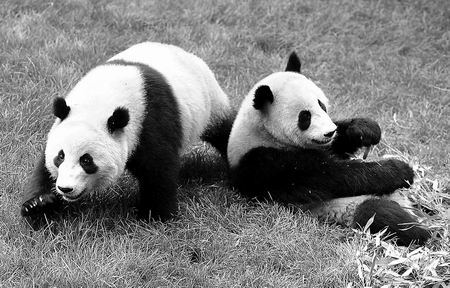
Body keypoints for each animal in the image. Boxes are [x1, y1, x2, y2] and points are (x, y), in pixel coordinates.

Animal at [19, 41, 234, 224]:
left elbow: (158, 168)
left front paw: (153, 216)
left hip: (210, 104)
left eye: (86, 160)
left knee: (226, 131)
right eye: (60, 156)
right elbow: (42, 169)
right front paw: (39, 204)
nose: (65, 188)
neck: (99, 100)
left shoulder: (149, 120)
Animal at [227, 51, 430, 245]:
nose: (329, 132)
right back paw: (421, 231)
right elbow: (334, 176)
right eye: (305, 117)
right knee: (377, 213)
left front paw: (366, 129)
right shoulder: (270, 164)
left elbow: (340, 144)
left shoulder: (326, 145)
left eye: (322, 105)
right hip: (349, 207)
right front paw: (400, 171)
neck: (263, 134)